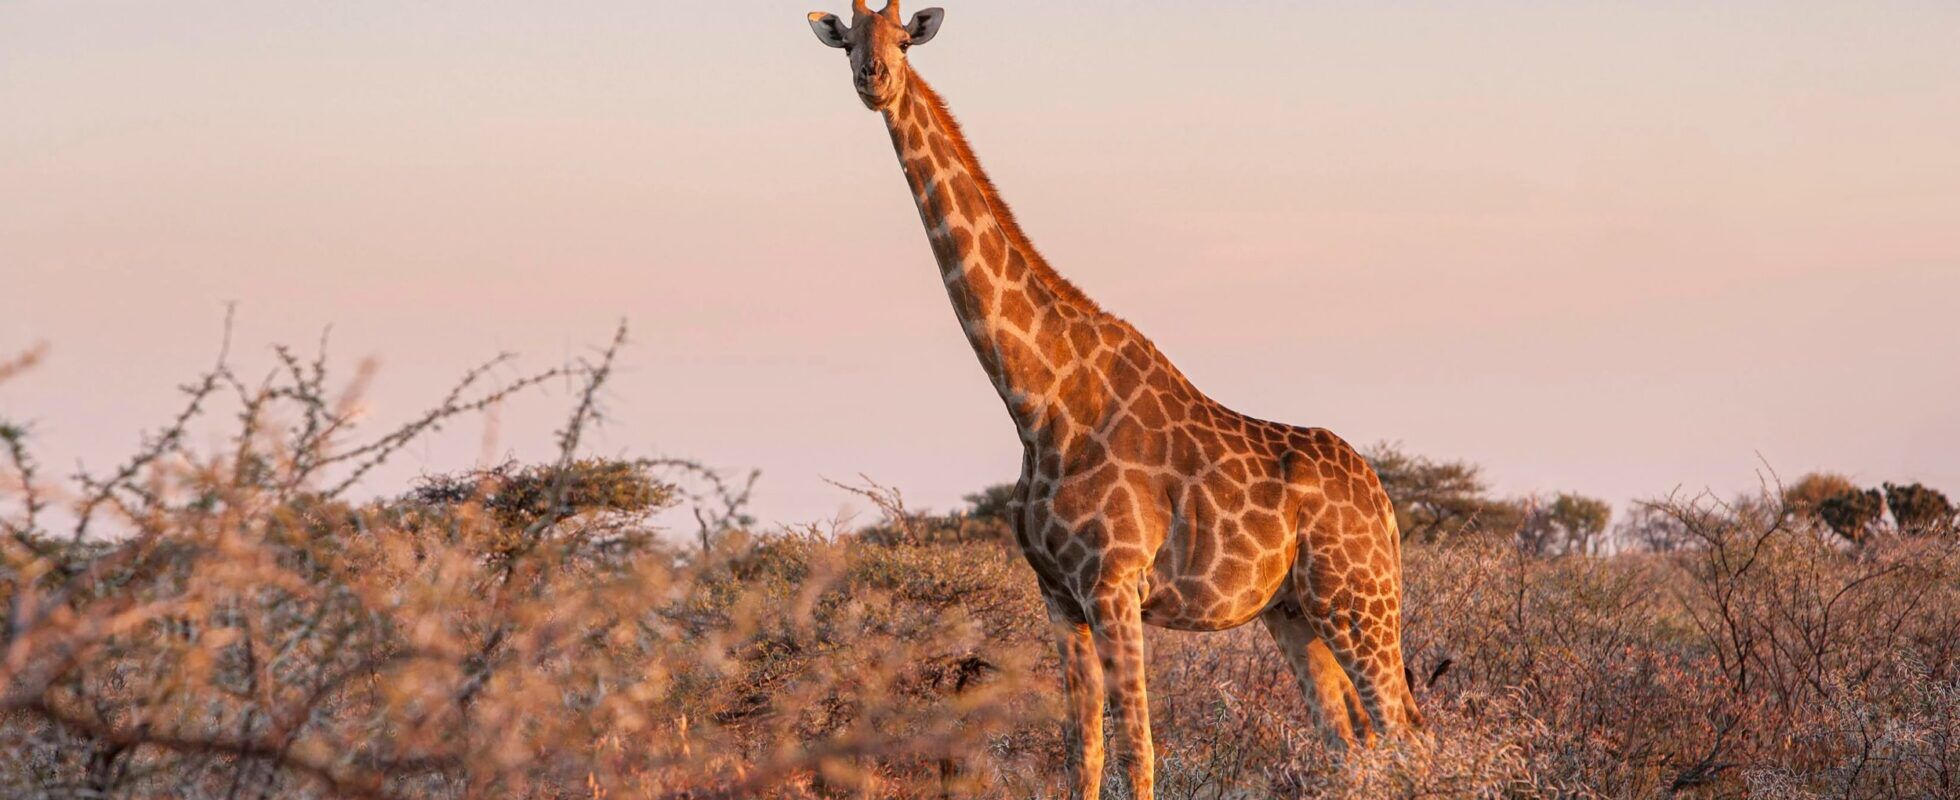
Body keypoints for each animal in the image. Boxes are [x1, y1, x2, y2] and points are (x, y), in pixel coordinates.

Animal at [807, 4, 1422, 796]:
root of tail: (1383, 501)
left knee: (1407, 734)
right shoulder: (1058, 595)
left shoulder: (1114, 584)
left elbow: (1138, 749)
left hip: (1357, 600)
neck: (1037, 401)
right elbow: (1084, 749)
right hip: (1293, 611)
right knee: (1350, 741)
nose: (874, 78)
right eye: (849, 39)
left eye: (906, 39)